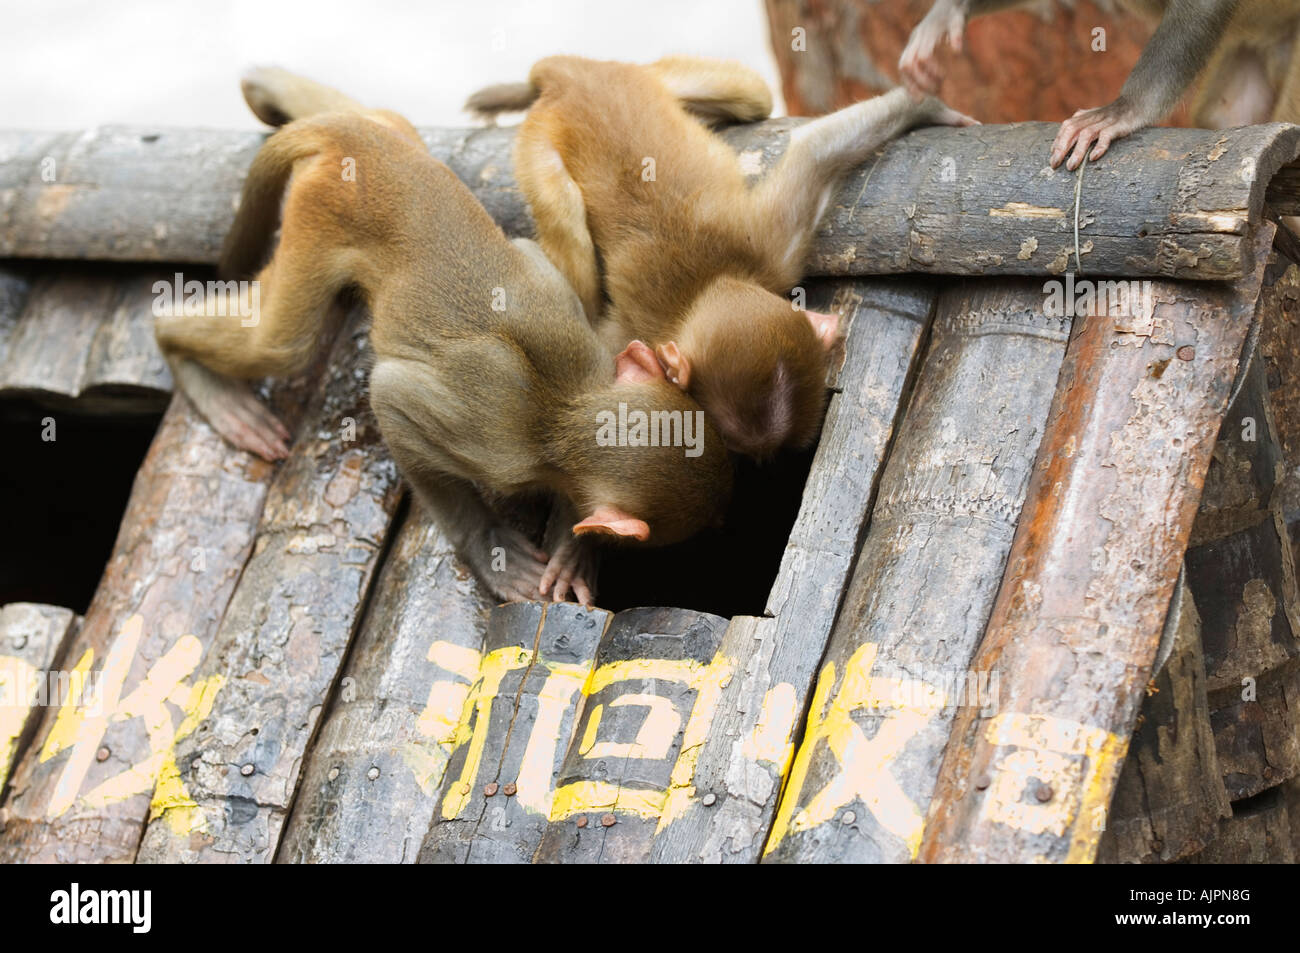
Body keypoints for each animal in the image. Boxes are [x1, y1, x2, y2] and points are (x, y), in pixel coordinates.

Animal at [152, 68, 733, 603]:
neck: (566, 407)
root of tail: (366, 142)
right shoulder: (499, 443)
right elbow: (392, 398)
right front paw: (492, 547)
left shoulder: (587, 342)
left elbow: (528, 255)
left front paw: (573, 552)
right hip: (320, 210)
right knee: (278, 344)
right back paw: (186, 356)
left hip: (379, 142)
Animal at [467, 57, 977, 460]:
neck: (711, 282)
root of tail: (566, 75)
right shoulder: (767, 253)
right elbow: (817, 150)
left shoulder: (770, 252)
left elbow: (819, 149)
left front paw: (929, 104)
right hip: (539, 140)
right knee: (566, 221)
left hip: (648, 76)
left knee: (752, 96)